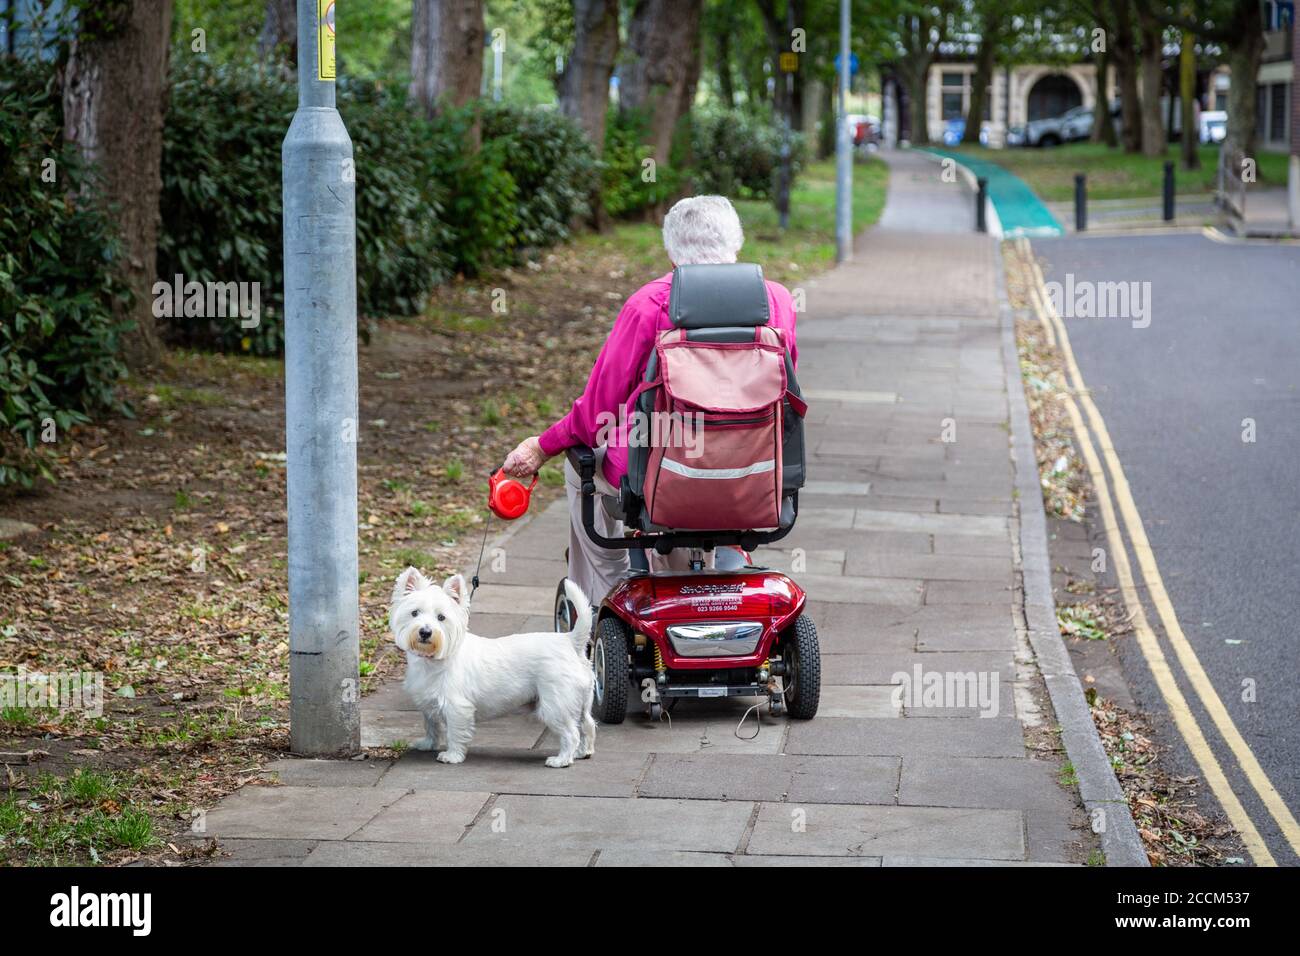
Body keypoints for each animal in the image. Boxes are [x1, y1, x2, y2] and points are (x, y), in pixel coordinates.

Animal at [387, 567, 595, 770]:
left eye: (441, 617)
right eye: (414, 613)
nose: (425, 632)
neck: (434, 659)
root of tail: (570, 641)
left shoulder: (456, 706)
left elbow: (454, 732)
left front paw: (452, 756)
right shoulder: (427, 702)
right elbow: (430, 725)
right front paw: (427, 744)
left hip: (556, 704)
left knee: (571, 733)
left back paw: (562, 760)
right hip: (581, 702)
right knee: (587, 725)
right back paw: (582, 752)